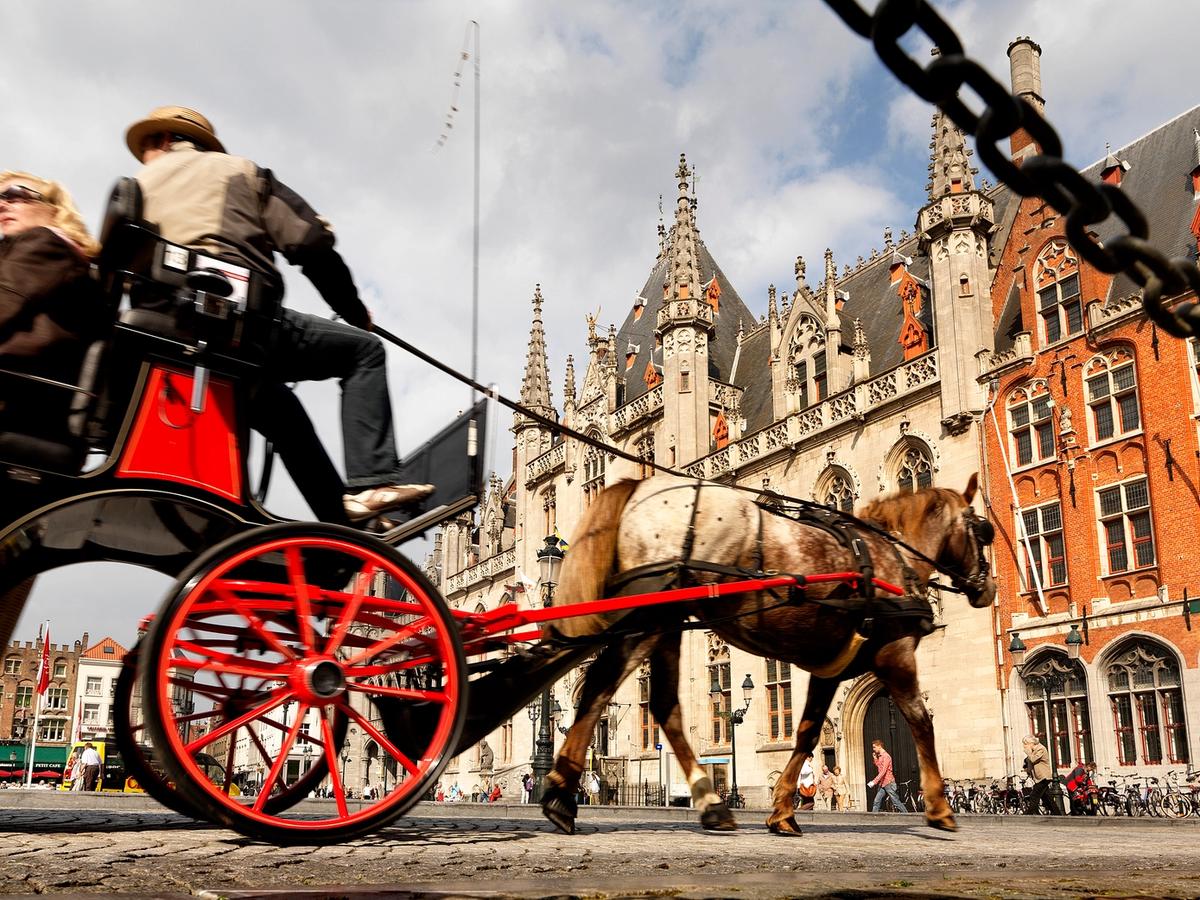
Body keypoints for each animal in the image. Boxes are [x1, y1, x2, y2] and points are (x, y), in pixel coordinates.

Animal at [538, 473, 995, 836]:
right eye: (984, 531)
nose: (987, 589)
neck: (889, 558)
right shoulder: (894, 655)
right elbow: (921, 722)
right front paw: (940, 809)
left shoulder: (828, 670)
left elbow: (808, 732)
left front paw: (782, 813)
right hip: (653, 617)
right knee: (604, 684)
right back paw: (562, 794)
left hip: (664, 622)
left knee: (657, 702)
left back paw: (707, 804)